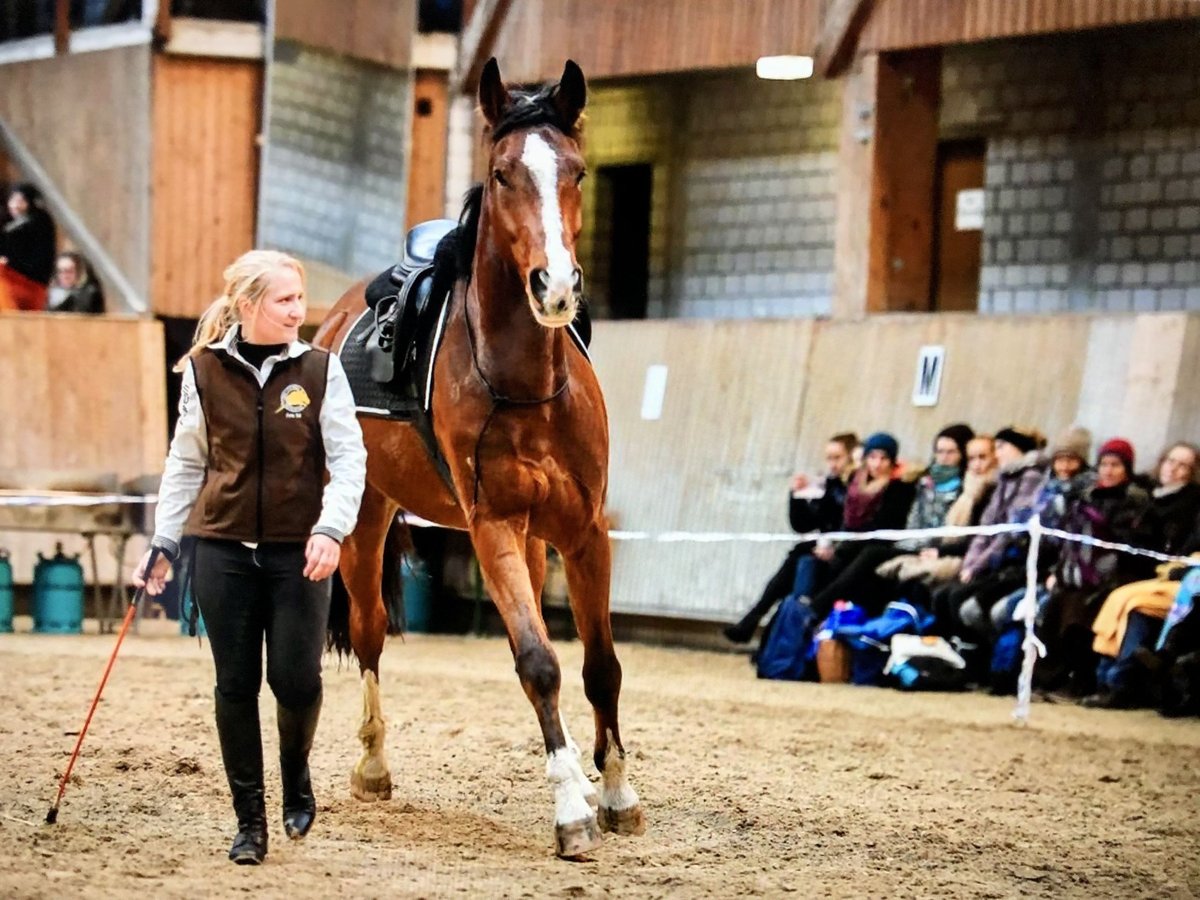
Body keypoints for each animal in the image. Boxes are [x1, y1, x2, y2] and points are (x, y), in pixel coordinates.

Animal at [314, 58, 643, 859]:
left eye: (578, 172)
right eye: (501, 174)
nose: (555, 286)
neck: (525, 384)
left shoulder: (583, 533)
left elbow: (600, 666)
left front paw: (615, 791)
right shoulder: (491, 525)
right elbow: (539, 663)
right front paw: (571, 810)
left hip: (531, 539)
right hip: (366, 524)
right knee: (369, 632)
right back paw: (373, 765)